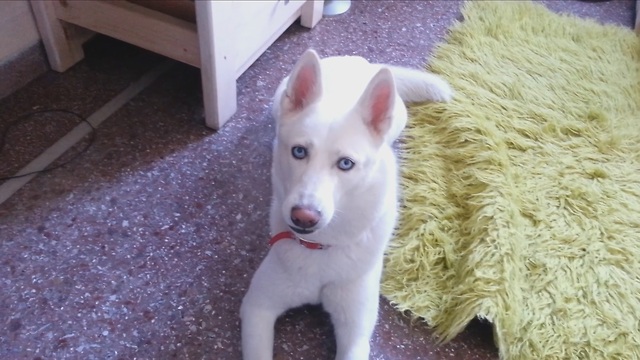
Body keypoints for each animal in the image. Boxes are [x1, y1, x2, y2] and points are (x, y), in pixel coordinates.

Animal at [241, 48, 456, 360]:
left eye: (345, 164)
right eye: (299, 151)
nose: (304, 216)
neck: (321, 248)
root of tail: (359, 62)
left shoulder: (356, 331)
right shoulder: (257, 308)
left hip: (398, 118)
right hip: (277, 99)